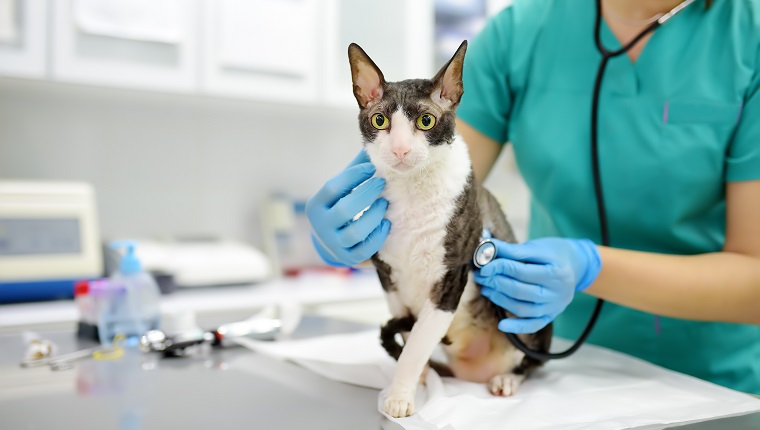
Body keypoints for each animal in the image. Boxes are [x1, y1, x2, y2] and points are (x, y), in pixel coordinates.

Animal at [348, 40, 552, 416]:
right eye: (380, 120)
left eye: (426, 121)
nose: (400, 150)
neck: (411, 195)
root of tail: (472, 371)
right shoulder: (388, 278)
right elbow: (410, 340)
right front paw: (414, 383)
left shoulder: (450, 280)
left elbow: (415, 347)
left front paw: (400, 397)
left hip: (522, 310)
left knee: (531, 360)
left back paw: (507, 379)